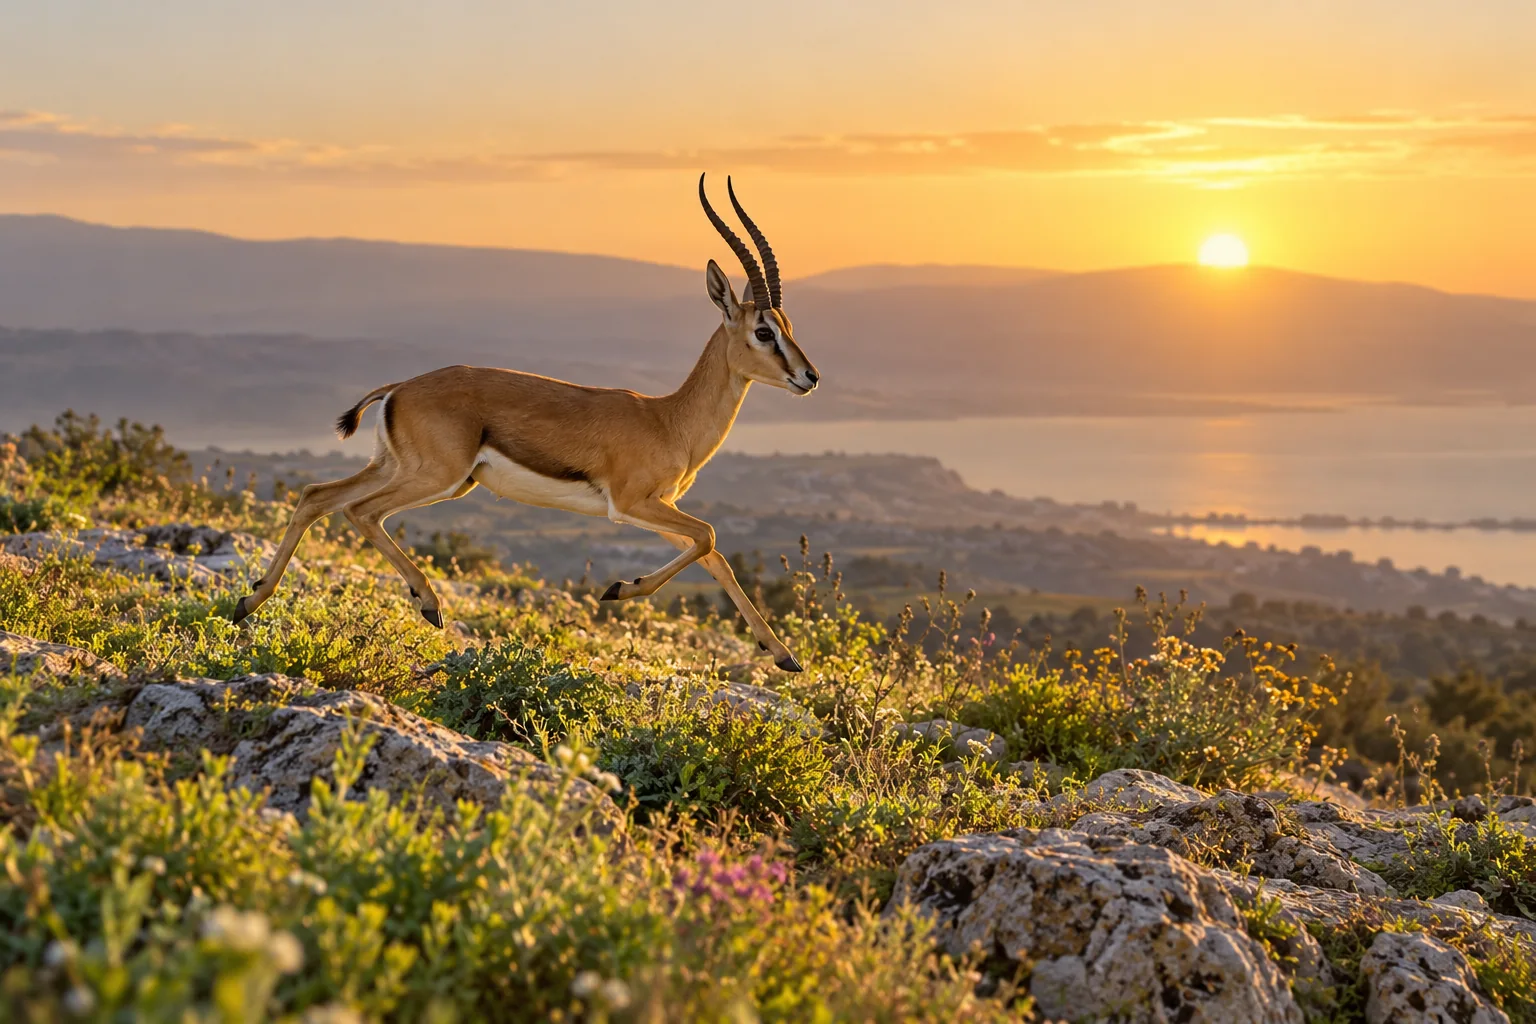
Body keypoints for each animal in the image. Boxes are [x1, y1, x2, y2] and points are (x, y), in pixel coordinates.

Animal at [230, 174, 820, 671]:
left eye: (789, 325)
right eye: (764, 331)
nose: (810, 377)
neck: (667, 419)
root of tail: (398, 387)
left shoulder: (658, 509)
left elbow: (715, 556)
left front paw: (785, 656)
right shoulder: (631, 505)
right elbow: (710, 536)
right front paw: (616, 589)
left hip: (408, 471)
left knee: (317, 496)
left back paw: (248, 602)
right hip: (439, 478)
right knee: (360, 511)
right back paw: (428, 605)